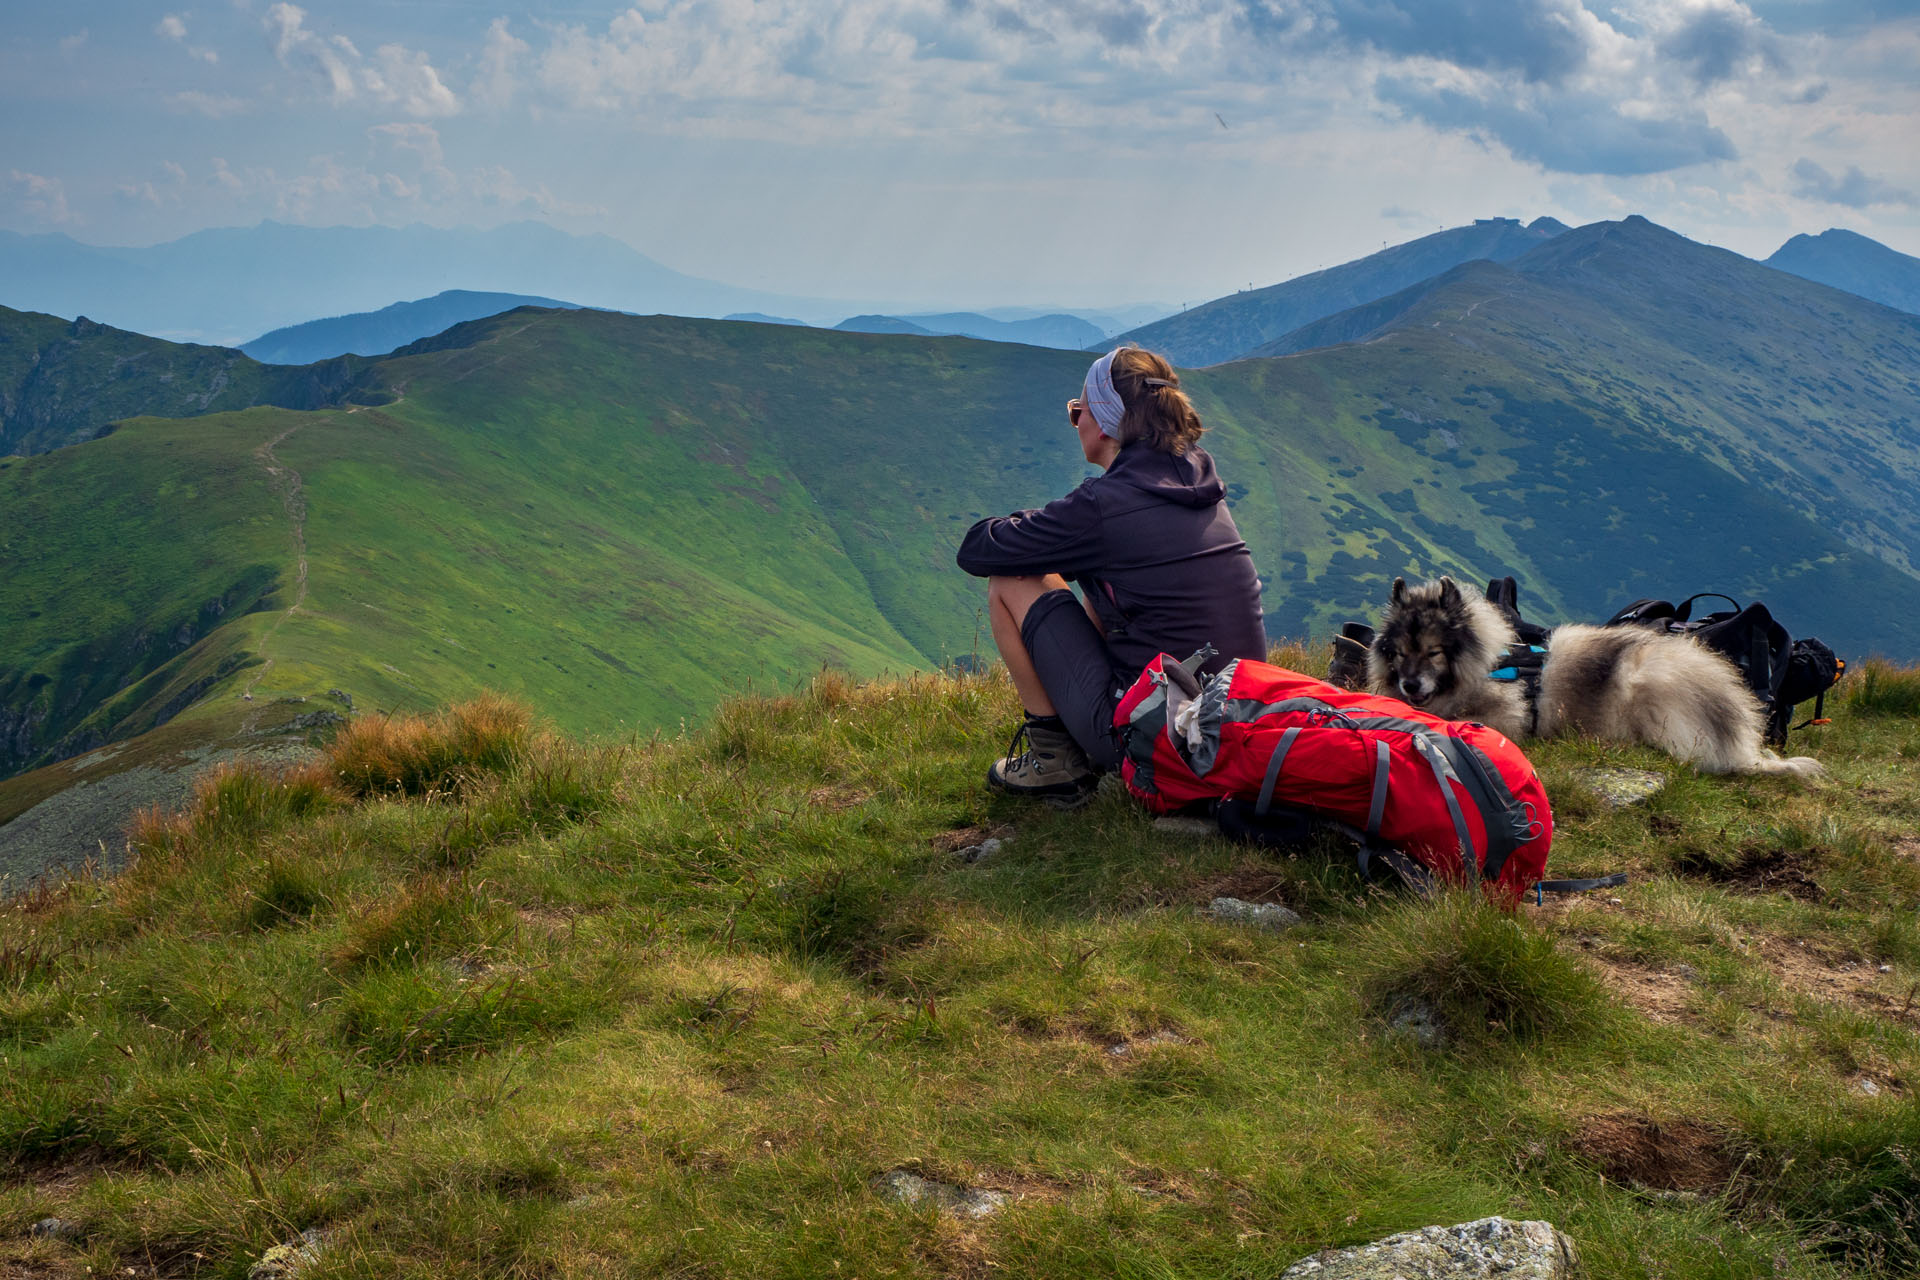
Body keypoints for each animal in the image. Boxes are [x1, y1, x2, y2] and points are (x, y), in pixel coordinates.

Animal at [1374, 575, 1820, 775]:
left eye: (1433, 652)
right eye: (1399, 653)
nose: (1409, 684)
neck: (1488, 661)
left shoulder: (1505, 718)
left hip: (1646, 684)